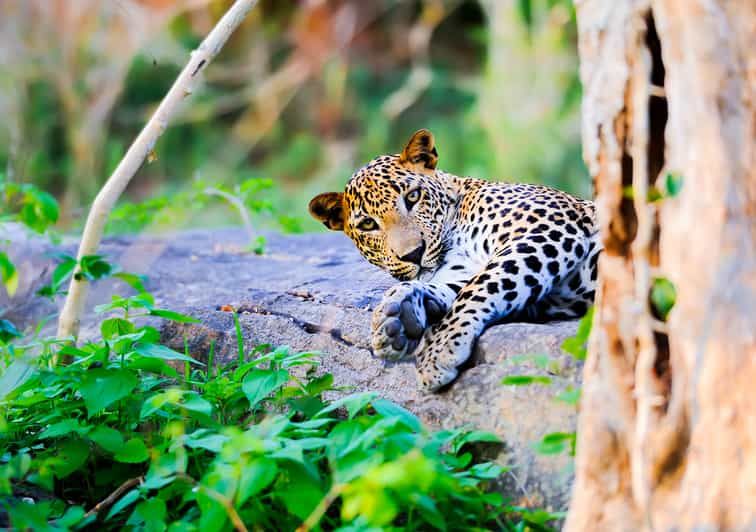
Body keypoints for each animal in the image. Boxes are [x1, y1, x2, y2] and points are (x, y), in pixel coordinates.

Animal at [310, 130, 600, 390]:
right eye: (368, 224)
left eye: (413, 196)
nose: (414, 253)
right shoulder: (465, 270)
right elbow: (459, 286)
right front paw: (398, 314)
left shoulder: (546, 229)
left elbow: (480, 287)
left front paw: (438, 351)